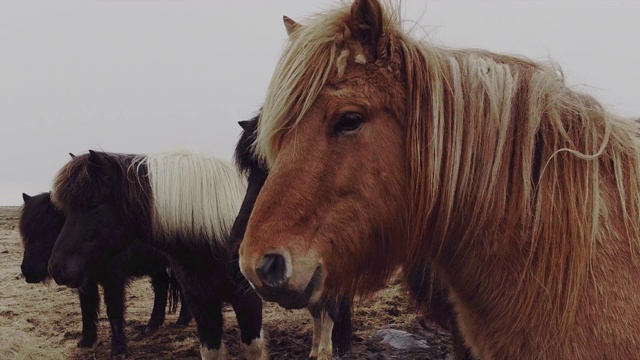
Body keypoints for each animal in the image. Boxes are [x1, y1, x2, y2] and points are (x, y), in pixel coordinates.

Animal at [18, 191, 191, 358]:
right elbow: (87, 308)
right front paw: (87, 340)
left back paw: (182, 320)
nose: (27, 270)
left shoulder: (113, 279)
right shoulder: (86, 283)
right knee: (162, 286)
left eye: (50, 228)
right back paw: (154, 325)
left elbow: (113, 311)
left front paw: (119, 349)